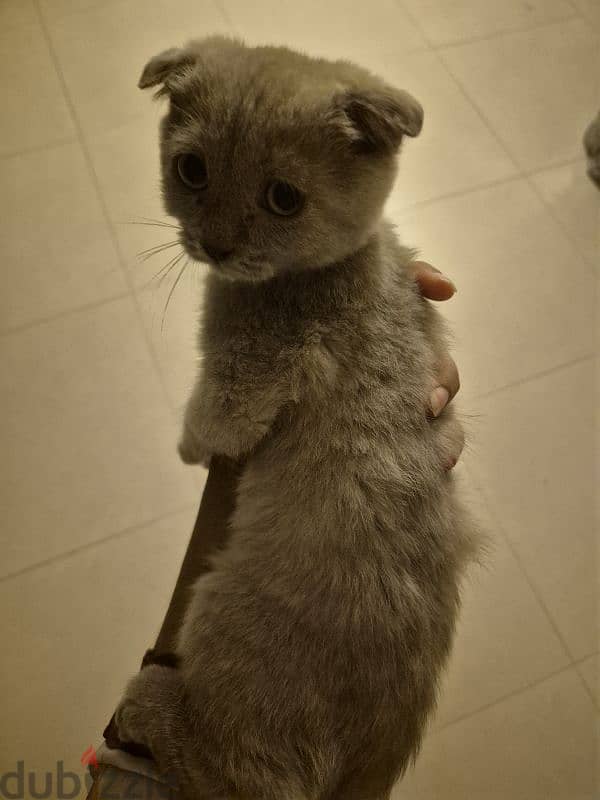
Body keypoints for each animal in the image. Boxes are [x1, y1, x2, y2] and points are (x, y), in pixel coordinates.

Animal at [112, 37, 478, 800]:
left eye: (284, 198)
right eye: (190, 169)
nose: (216, 245)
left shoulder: (244, 374)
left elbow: (211, 424)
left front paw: (188, 445)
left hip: (219, 607)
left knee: (251, 777)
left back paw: (149, 709)